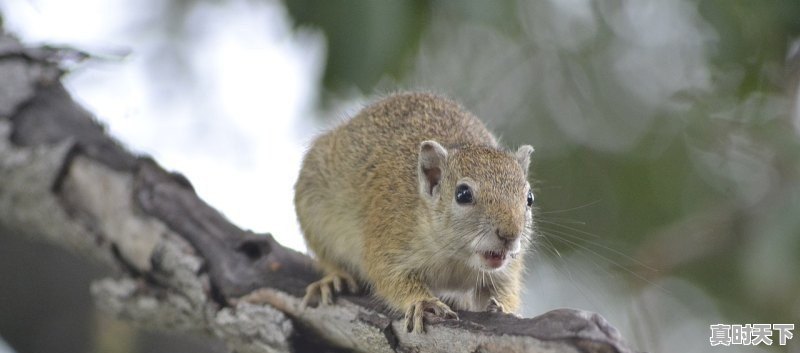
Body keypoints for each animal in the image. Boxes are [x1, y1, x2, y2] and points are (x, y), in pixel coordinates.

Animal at [292, 91, 532, 332]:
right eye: (463, 194)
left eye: (529, 198)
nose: (510, 234)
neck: (455, 258)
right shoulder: (388, 238)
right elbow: (389, 276)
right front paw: (423, 302)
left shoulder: (506, 271)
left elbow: (504, 290)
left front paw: (503, 308)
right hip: (314, 211)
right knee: (327, 258)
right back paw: (334, 279)